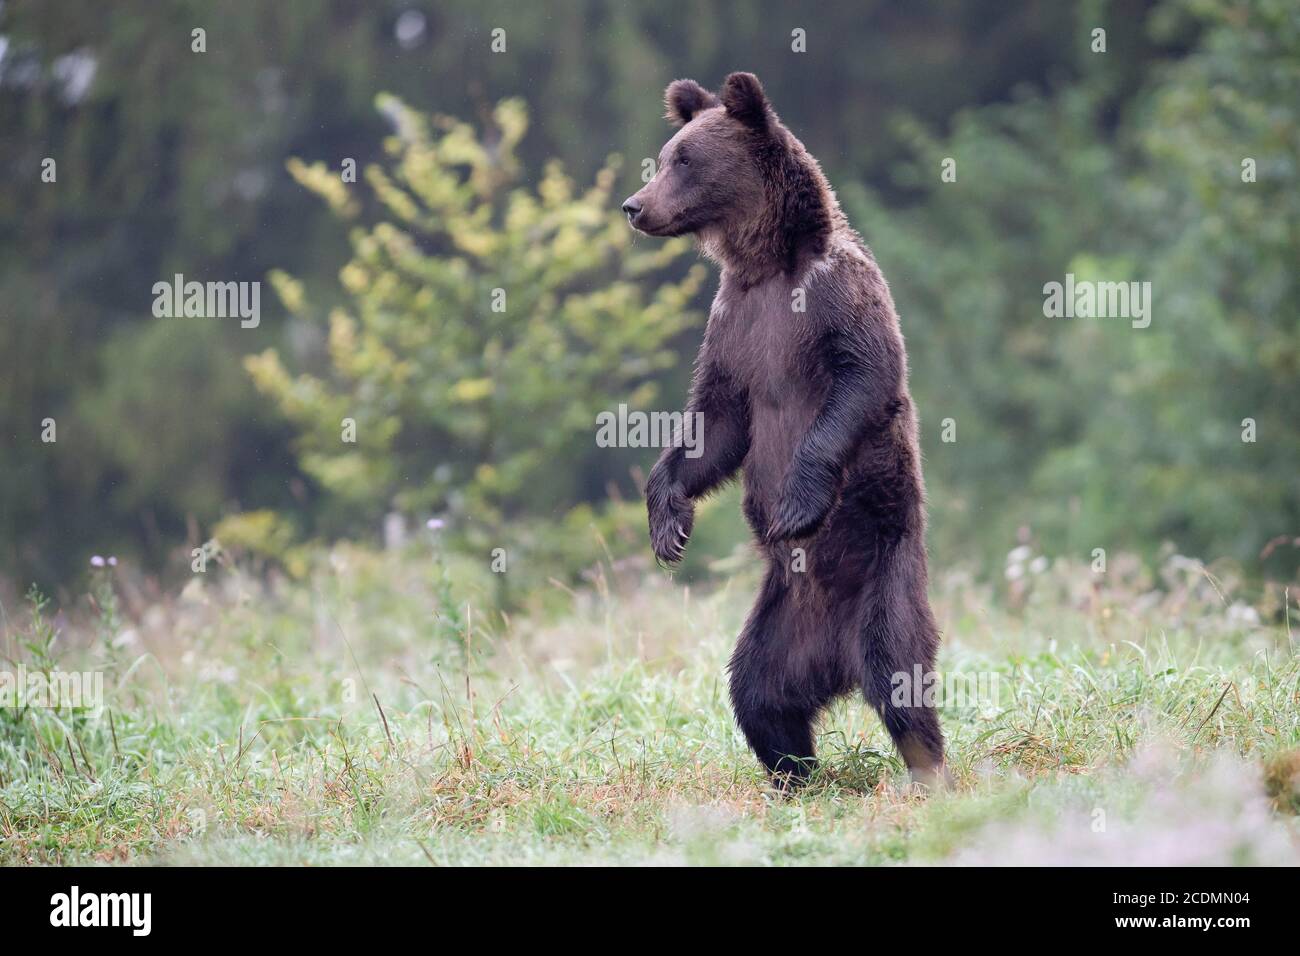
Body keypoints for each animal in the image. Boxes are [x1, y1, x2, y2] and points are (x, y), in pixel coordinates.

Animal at [623, 72, 947, 788]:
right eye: (664, 155)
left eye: (683, 160)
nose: (633, 206)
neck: (768, 264)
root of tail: (838, 662)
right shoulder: (735, 325)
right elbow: (715, 425)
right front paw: (668, 523)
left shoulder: (834, 300)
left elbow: (862, 379)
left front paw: (797, 502)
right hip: (780, 623)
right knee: (758, 693)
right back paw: (794, 774)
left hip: (888, 577)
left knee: (900, 678)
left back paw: (928, 770)